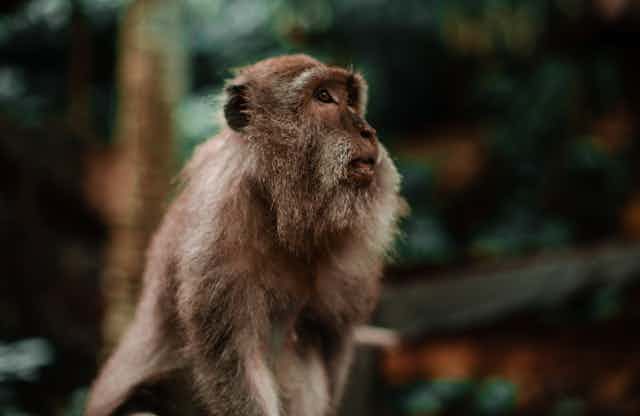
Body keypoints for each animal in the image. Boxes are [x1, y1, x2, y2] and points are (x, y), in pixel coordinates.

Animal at [86, 54, 408, 416]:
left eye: (351, 98)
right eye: (323, 96)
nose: (368, 131)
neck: (278, 207)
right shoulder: (219, 235)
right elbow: (236, 365)